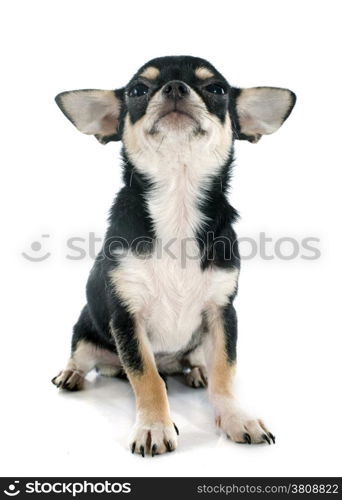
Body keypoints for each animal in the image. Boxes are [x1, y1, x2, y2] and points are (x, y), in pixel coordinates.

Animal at [52, 55, 296, 458]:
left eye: (216, 89)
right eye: (138, 90)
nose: (175, 88)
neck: (177, 201)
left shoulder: (221, 311)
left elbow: (225, 371)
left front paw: (236, 417)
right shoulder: (127, 317)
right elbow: (145, 376)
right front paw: (154, 425)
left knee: (195, 363)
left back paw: (197, 371)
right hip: (88, 334)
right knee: (88, 356)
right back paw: (71, 373)